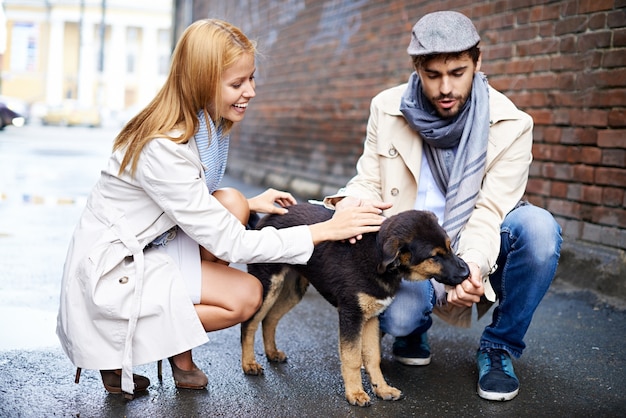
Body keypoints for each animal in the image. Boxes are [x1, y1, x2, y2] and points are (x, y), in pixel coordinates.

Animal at [240, 202, 468, 404]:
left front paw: (382, 389)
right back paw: (249, 363)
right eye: (434, 257)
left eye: (450, 247)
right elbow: (352, 357)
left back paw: (272, 353)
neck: (377, 255)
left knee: (270, 319)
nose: (467, 273)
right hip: (267, 284)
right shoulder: (351, 314)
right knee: (249, 324)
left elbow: (373, 356)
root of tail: (266, 219)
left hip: (293, 289)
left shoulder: (372, 316)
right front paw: (355, 393)